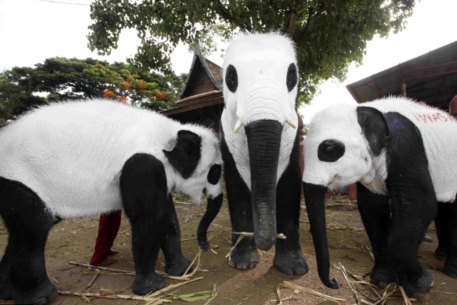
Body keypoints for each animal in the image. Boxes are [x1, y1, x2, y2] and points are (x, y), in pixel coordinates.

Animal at [0, 98, 222, 302]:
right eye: (215, 172)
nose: (206, 246)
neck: (169, 132)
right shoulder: (141, 165)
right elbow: (147, 218)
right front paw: (151, 287)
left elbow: (166, 215)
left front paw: (184, 269)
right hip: (21, 179)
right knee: (32, 231)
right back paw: (41, 297)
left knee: (24, 231)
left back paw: (8, 292)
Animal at [210, 33, 306, 274]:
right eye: (231, 79)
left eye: (291, 78)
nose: (266, 242)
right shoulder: (226, 134)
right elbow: (236, 185)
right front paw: (242, 262)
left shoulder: (294, 135)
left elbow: (289, 182)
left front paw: (293, 268)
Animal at [302, 96, 456, 296]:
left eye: (329, 150)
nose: (336, 281)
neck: (364, 110)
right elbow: (373, 209)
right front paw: (383, 279)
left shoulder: (406, 144)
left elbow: (419, 205)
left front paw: (421, 284)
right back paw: (443, 256)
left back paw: (451, 269)